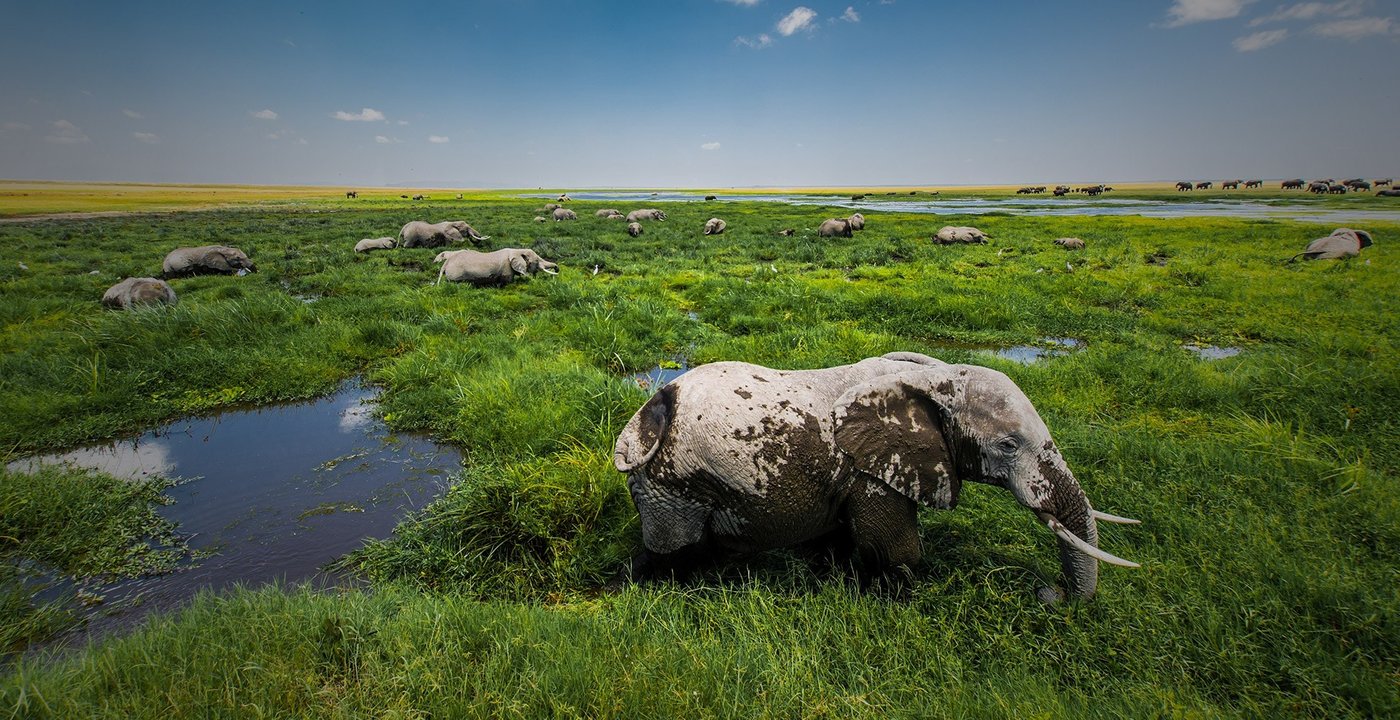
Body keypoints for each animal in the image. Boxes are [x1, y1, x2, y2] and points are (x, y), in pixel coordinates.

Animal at [613, 352, 1140, 602]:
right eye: (1009, 446)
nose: (1051, 594)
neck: (935, 379)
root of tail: (651, 412)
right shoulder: (875, 472)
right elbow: (896, 549)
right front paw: (899, 598)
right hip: (676, 486)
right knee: (674, 554)